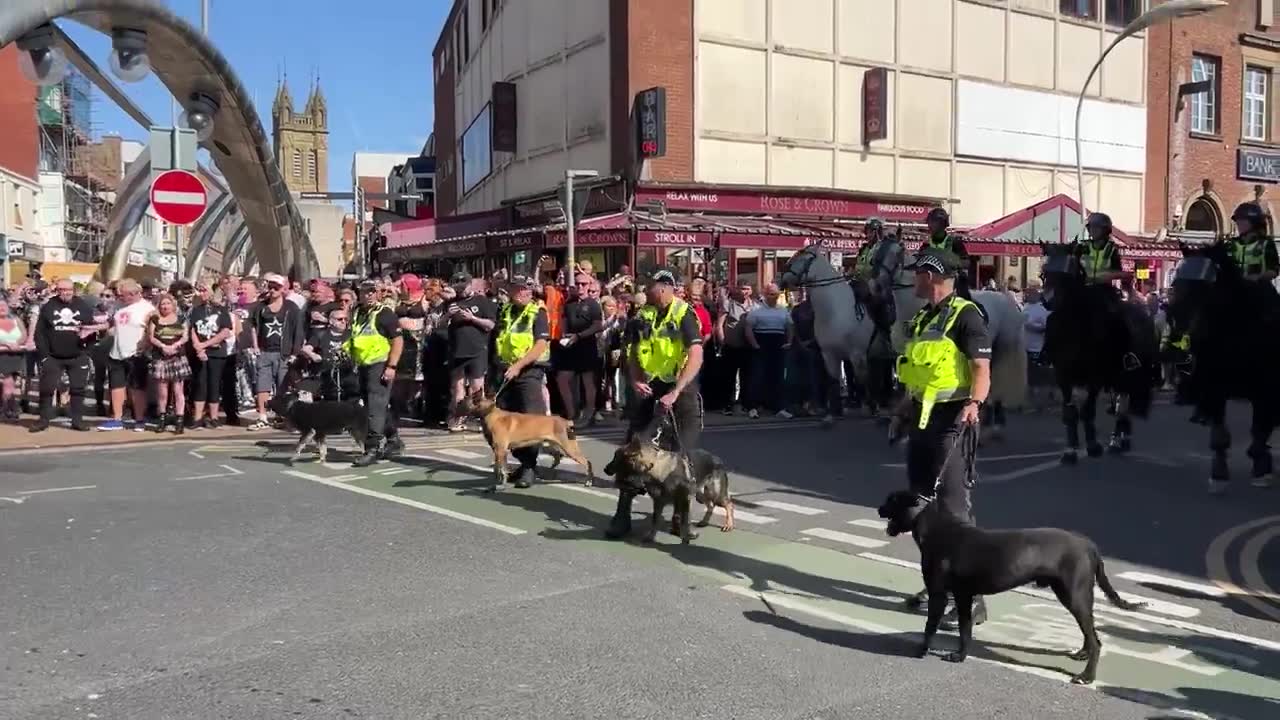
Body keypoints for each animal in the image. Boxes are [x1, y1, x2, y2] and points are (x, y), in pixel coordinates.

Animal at [465, 392, 593, 486]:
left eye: (470, 400)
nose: (463, 399)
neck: (492, 414)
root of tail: (565, 421)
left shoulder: (501, 450)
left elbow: (501, 469)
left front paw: (500, 482)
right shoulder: (498, 450)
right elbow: (498, 468)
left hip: (569, 449)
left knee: (587, 462)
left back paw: (588, 481)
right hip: (549, 446)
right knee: (557, 458)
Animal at [604, 438, 737, 543]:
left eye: (615, 457)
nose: (605, 469)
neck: (655, 467)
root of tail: (717, 458)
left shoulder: (685, 499)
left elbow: (686, 521)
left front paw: (688, 536)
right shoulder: (659, 502)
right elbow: (655, 520)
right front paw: (651, 537)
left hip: (713, 493)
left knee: (729, 504)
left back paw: (728, 525)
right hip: (699, 494)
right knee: (710, 505)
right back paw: (704, 522)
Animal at [880, 486, 1141, 681]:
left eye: (891, 500)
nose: (879, 508)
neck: (937, 528)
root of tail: (1089, 544)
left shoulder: (939, 595)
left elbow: (929, 628)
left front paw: (920, 651)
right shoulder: (963, 596)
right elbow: (965, 630)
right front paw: (960, 656)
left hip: (1073, 595)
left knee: (1096, 641)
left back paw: (1086, 677)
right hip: (1077, 596)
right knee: (1091, 633)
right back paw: (1082, 655)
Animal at [1039, 243, 1162, 461]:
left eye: (1068, 270)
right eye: (1045, 271)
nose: (1048, 300)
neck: (1075, 325)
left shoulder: (1095, 377)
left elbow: (1088, 410)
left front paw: (1093, 445)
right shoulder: (1063, 375)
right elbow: (1069, 412)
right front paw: (1070, 450)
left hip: (1127, 375)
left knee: (1123, 406)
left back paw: (1119, 440)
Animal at [1172, 242, 1280, 486]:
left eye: (1206, 288)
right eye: (1175, 283)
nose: (1181, 341)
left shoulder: (1265, 390)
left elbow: (1260, 429)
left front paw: (1261, 466)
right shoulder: (1213, 387)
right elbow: (1220, 434)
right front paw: (1219, 473)